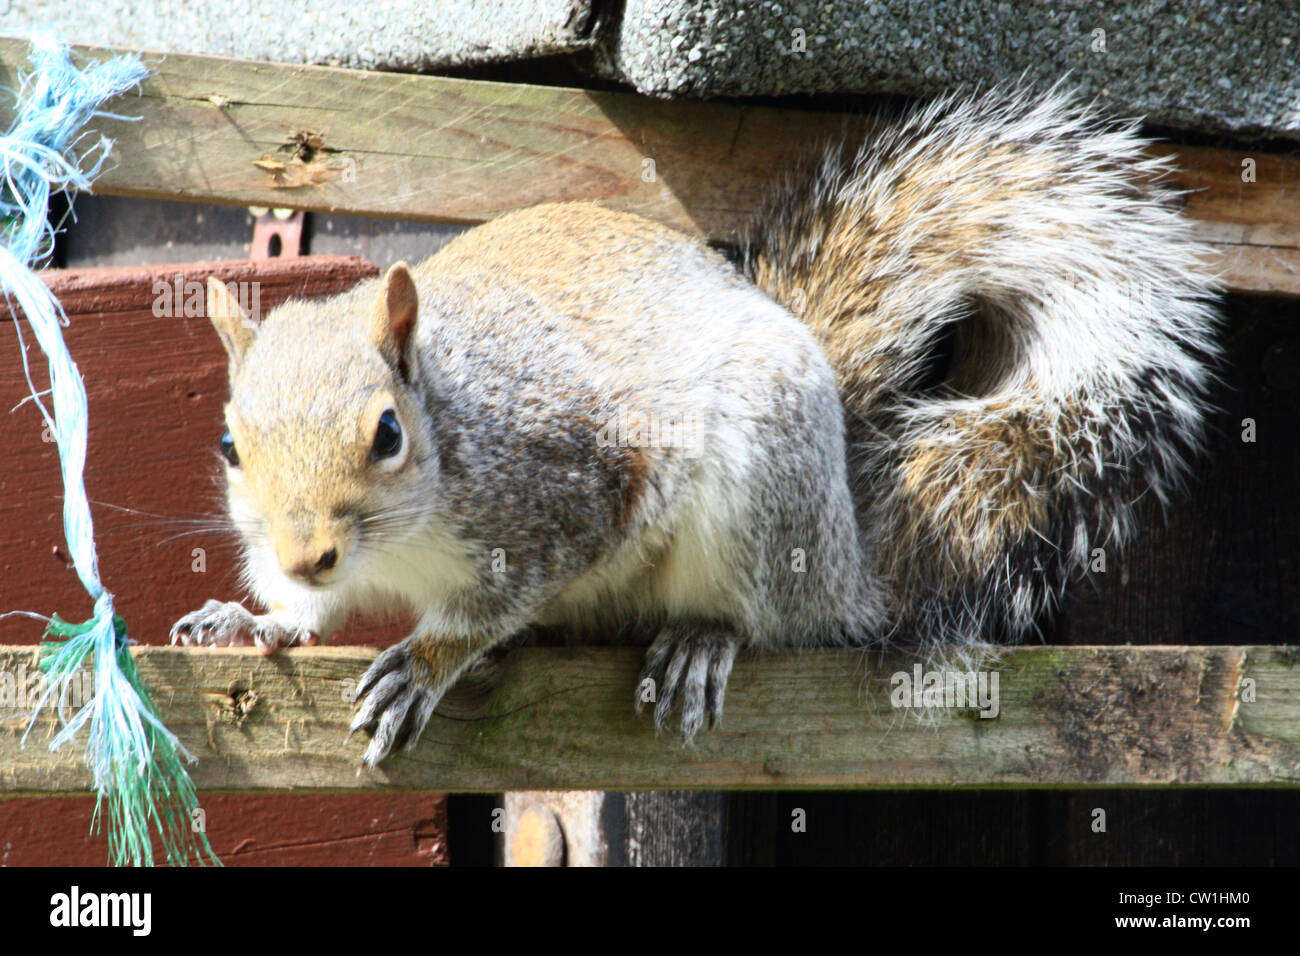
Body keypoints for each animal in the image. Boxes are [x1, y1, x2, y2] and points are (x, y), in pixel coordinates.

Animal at [170, 85, 1216, 764]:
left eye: (387, 434)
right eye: (228, 446)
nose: (308, 553)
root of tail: (851, 552)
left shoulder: (563, 500)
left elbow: (494, 603)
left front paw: (425, 663)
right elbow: (306, 615)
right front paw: (256, 619)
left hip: (764, 496)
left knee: (778, 619)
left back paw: (705, 641)